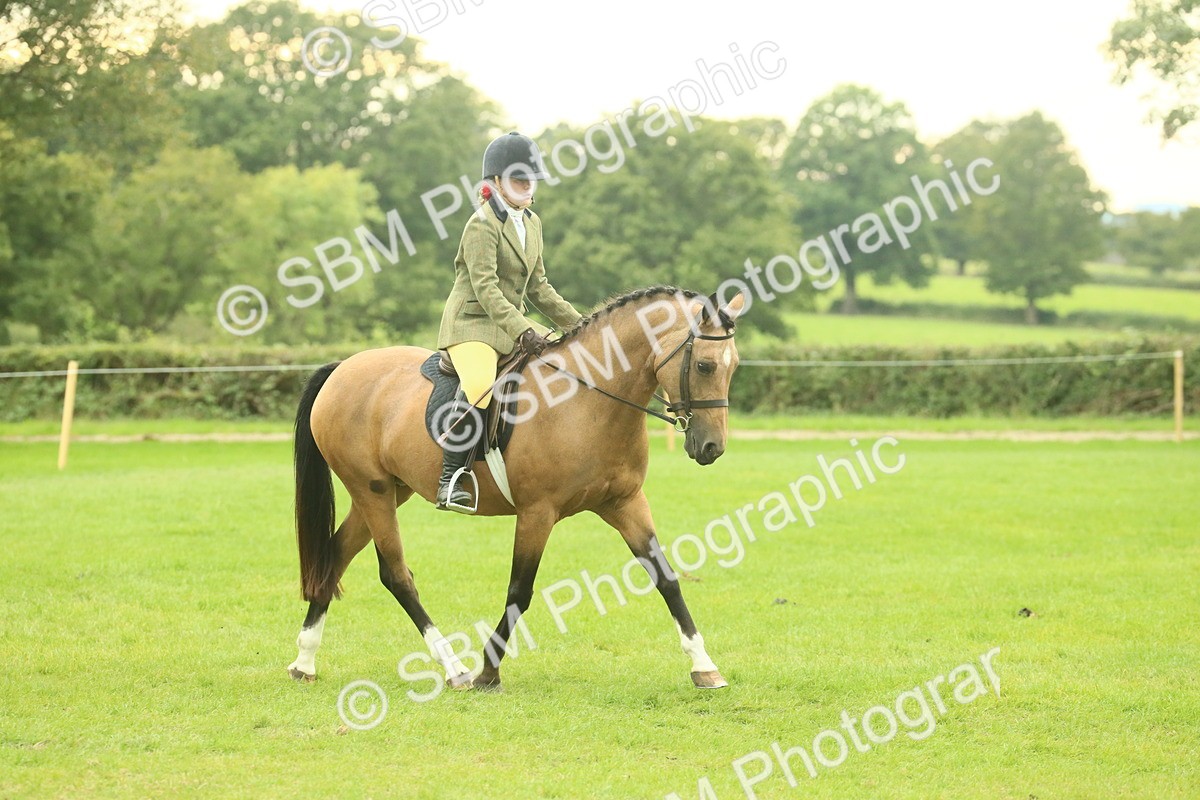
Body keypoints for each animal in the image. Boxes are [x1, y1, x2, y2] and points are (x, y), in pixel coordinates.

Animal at [287, 285, 746, 691]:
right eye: (705, 366)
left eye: (735, 365)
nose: (712, 448)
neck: (588, 402)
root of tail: (342, 368)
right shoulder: (537, 512)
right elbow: (519, 591)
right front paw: (488, 673)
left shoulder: (625, 502)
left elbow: (666, 577)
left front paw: (705, 667)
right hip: (373, 491)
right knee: (396, 575)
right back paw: (454, 669)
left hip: (389, 491)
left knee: (336, 554)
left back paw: (304, 661)